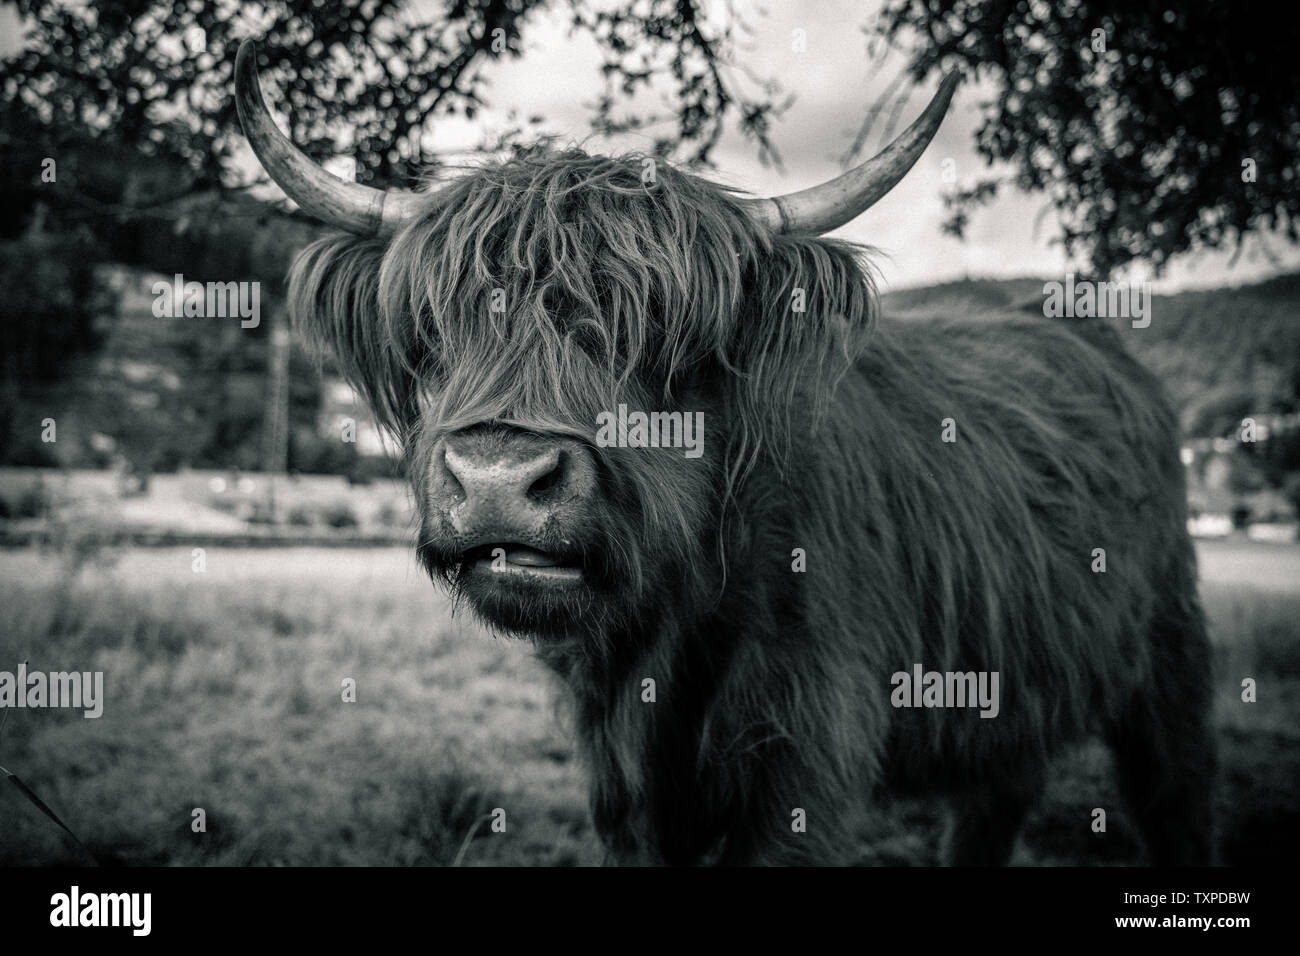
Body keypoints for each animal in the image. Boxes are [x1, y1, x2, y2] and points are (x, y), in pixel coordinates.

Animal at [235, 39, 1216, 865]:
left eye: (659, 334)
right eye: (435, 328)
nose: (500, 481)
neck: (673, 623)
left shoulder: (805, 757)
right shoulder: (624, 780)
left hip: (1168, 657)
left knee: (1174, 794)